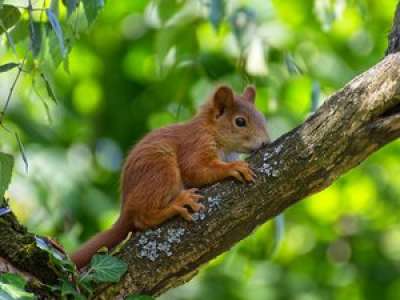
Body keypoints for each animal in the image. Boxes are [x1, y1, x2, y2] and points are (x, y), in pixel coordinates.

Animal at [72, 84, 272, 268]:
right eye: (240, 122)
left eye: (262, 118)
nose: (265, 142)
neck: (212, 131)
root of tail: (125, 208)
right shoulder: (195, 144)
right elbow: (195, 170)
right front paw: (233, 167)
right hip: (161, 171)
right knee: (142, 217)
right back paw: (177, 205)